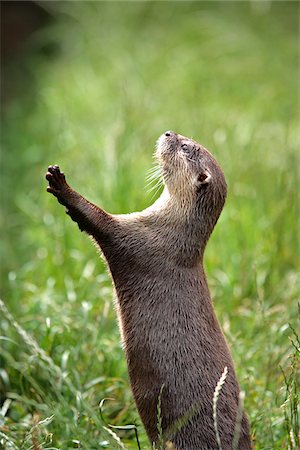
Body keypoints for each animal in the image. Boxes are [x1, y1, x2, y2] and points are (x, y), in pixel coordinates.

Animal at [45, 131, 252, 450]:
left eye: (185, 147)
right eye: (184, 137)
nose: (169, 133)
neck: (170, 231)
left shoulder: (137, 238)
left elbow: (98, 220)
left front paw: (63, 188)